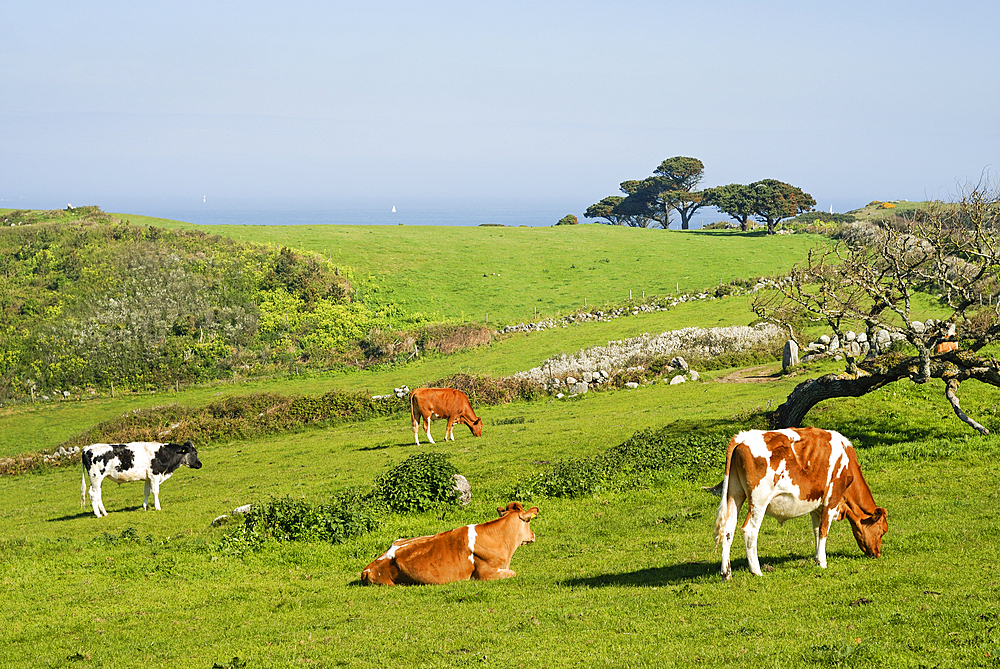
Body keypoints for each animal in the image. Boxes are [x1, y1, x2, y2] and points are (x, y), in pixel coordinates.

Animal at [712, 428, 892, 580]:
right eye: (882, 531)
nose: (877, 554)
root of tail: (742, 438)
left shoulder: (816, 505)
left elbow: (817, 531)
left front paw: (817, 558)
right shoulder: (831, 499)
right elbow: (824, 530)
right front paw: (823, 562)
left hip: (735, 495)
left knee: (728, 530)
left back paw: (726, 573)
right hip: (758, 501)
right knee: (749, 530)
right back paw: (756, 571)